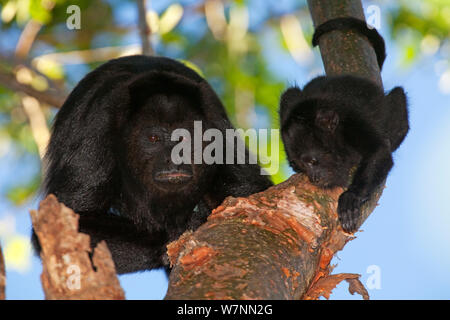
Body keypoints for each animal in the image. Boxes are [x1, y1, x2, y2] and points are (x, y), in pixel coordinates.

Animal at [33, 54, 272, 272]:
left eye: (185, 137)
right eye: (154, 138)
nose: (174, 158)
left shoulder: (216, 123)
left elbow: (251, 195)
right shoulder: (97, 126)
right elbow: (71, 221)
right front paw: (184, 230)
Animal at [280, 17, 410, 232]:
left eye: (313, 161)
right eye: (299, 165)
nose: (313, 178)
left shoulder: (351, 124)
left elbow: (380, 151)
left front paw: (351, 197)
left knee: (398, 97)